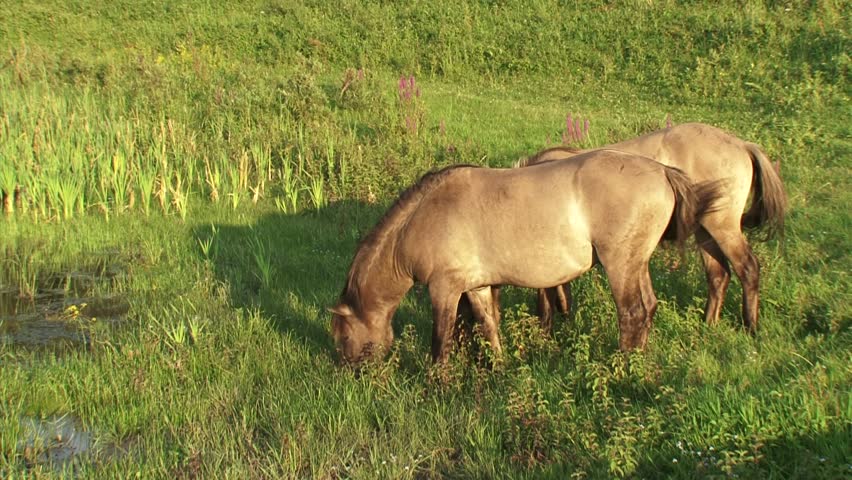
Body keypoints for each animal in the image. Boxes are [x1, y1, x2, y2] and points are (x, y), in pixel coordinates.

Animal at [330, 149, 722, 365]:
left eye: (343, 337)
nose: (350, 373)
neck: (422, 217)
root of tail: (662, 171)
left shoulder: (444, 290)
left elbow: (440, 341)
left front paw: (436, 383)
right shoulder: (477, 287)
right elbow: (489, 326)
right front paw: (499, 367)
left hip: (620, 266)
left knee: (633, 314)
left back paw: (623, 366)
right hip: (636, 265)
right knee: (649, 308)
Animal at [515, 123, 787, 334]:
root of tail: (743, 145)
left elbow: (548, 295)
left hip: (723, 227)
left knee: (748, 268)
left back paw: (750, 327)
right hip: (704, 231)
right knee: (718, 275)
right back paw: (708, 324)